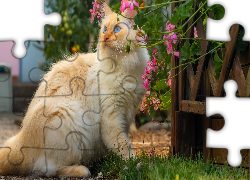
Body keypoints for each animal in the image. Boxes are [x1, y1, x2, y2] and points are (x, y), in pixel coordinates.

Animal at [0, 2, 148, 178]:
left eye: (117, 29)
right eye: (105, 29)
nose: (105, 38)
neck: (125, 68)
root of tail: (23, 141)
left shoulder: (127, 112)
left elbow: (123, 141)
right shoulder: (112, 116)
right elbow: (122, 144)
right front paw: (135, 164)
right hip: (67, 118)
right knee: (46, 169)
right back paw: (83, 170)